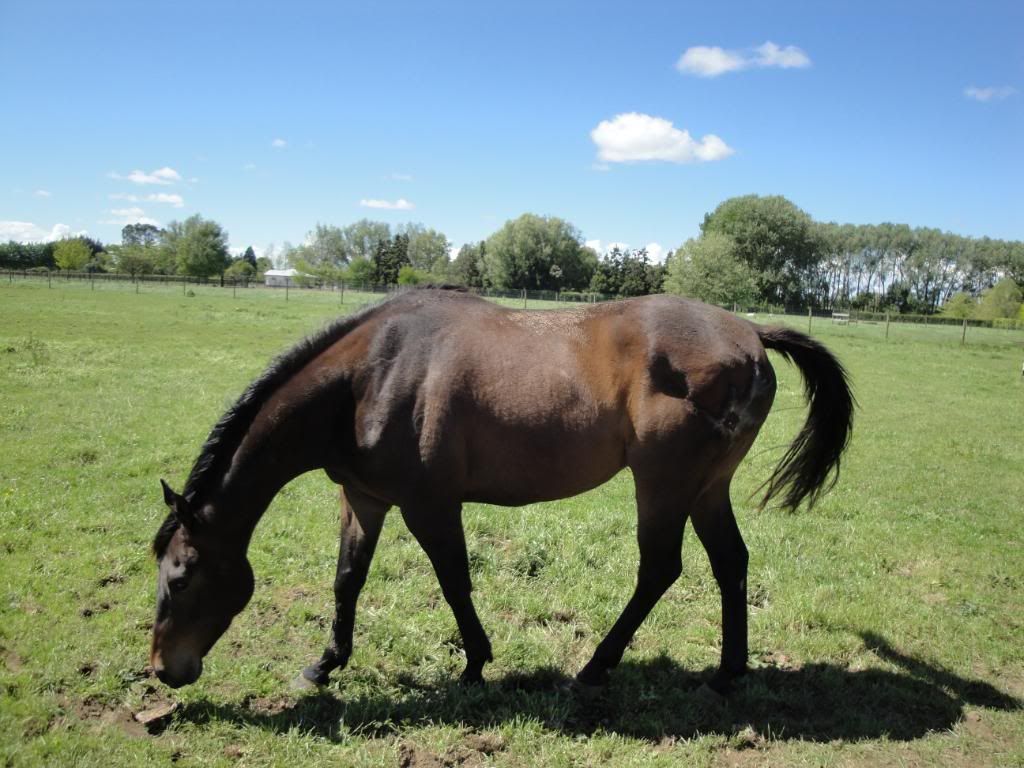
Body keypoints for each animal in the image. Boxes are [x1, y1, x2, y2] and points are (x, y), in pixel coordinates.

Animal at [149, 290, 856, 696]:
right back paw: (730, 673)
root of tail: (750, 334)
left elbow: (454, 580)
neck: (369, 379)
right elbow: (348, 579)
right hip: (708, 486)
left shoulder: (429, 504)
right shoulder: (364, 499)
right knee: (729, 562)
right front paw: (324, 665)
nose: (162, 669)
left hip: (664, 482)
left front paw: (474, 664)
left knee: (659, 568)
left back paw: (595, 668)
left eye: (181, 577)